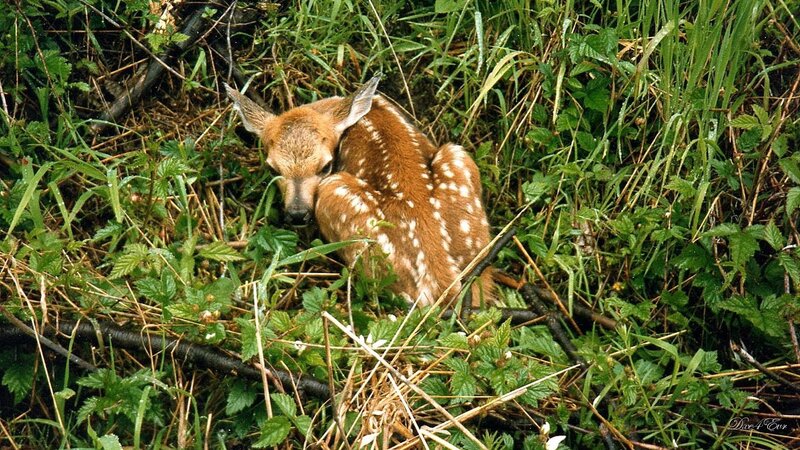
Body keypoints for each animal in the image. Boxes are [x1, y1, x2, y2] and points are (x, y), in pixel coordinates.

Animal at [225, 76, 494, 306]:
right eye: (272, 168)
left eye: (325, 166)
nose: (298, 214)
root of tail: (441, 281)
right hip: (458, 157)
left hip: (336, 194)